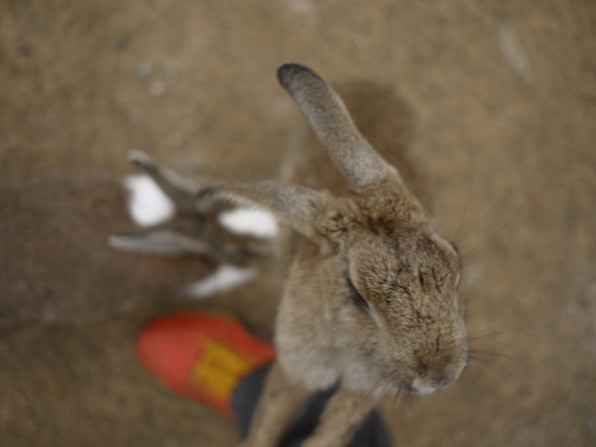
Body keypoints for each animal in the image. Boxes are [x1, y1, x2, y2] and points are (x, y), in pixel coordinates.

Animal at [112, 64, 468, 447]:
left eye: (455, 259)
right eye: (357, 293)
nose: (442, 376)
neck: (349, 343)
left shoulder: (364, 389)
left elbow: (332, 432)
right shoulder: (297, 367)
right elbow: (271, 416)